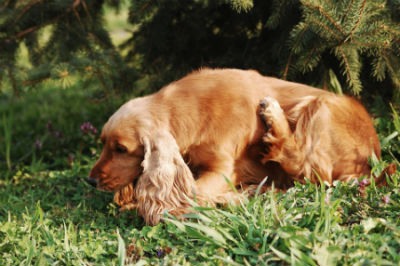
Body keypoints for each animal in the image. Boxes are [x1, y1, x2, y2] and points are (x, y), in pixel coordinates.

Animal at [86, 68, 382, 224]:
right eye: (103, 144)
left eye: (121, 149)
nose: (91, 180)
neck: (189, 110)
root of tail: (372, 158)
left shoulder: (223, 169)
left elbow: (194, 194)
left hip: (319, 107)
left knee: (308, 169)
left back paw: (272, 114)